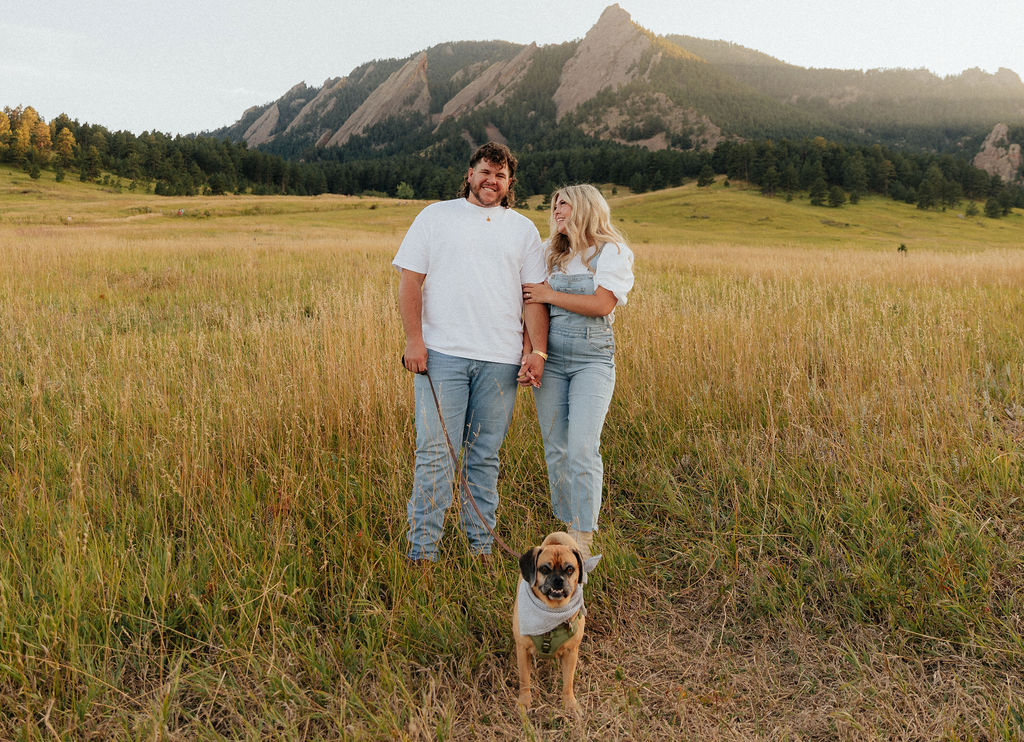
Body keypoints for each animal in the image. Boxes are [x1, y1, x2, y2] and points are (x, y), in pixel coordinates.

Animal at [512, 528, 598, 708]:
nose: (558, 580)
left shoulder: (571, 653)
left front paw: (569, 703)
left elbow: (568, 682)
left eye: (570, 569)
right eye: (544, 569)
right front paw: (524, 702)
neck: (552, 611)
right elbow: (524, 680)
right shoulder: (522, 650)